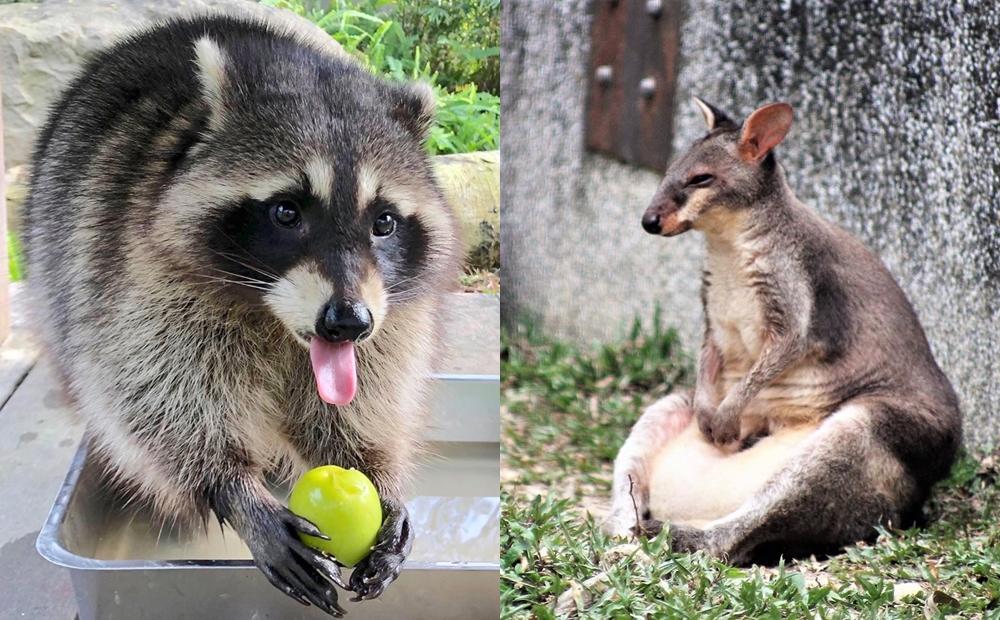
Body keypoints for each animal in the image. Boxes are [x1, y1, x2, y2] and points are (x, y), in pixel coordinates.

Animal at [22, 12, 460, 612]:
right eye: (286, 212)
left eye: (385, 222)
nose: (348, 322)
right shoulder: (136, 275)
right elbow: (153, 395)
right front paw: (233, 487)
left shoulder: (392, 316)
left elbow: (364, 396)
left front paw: (378, 471)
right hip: (55, 249)